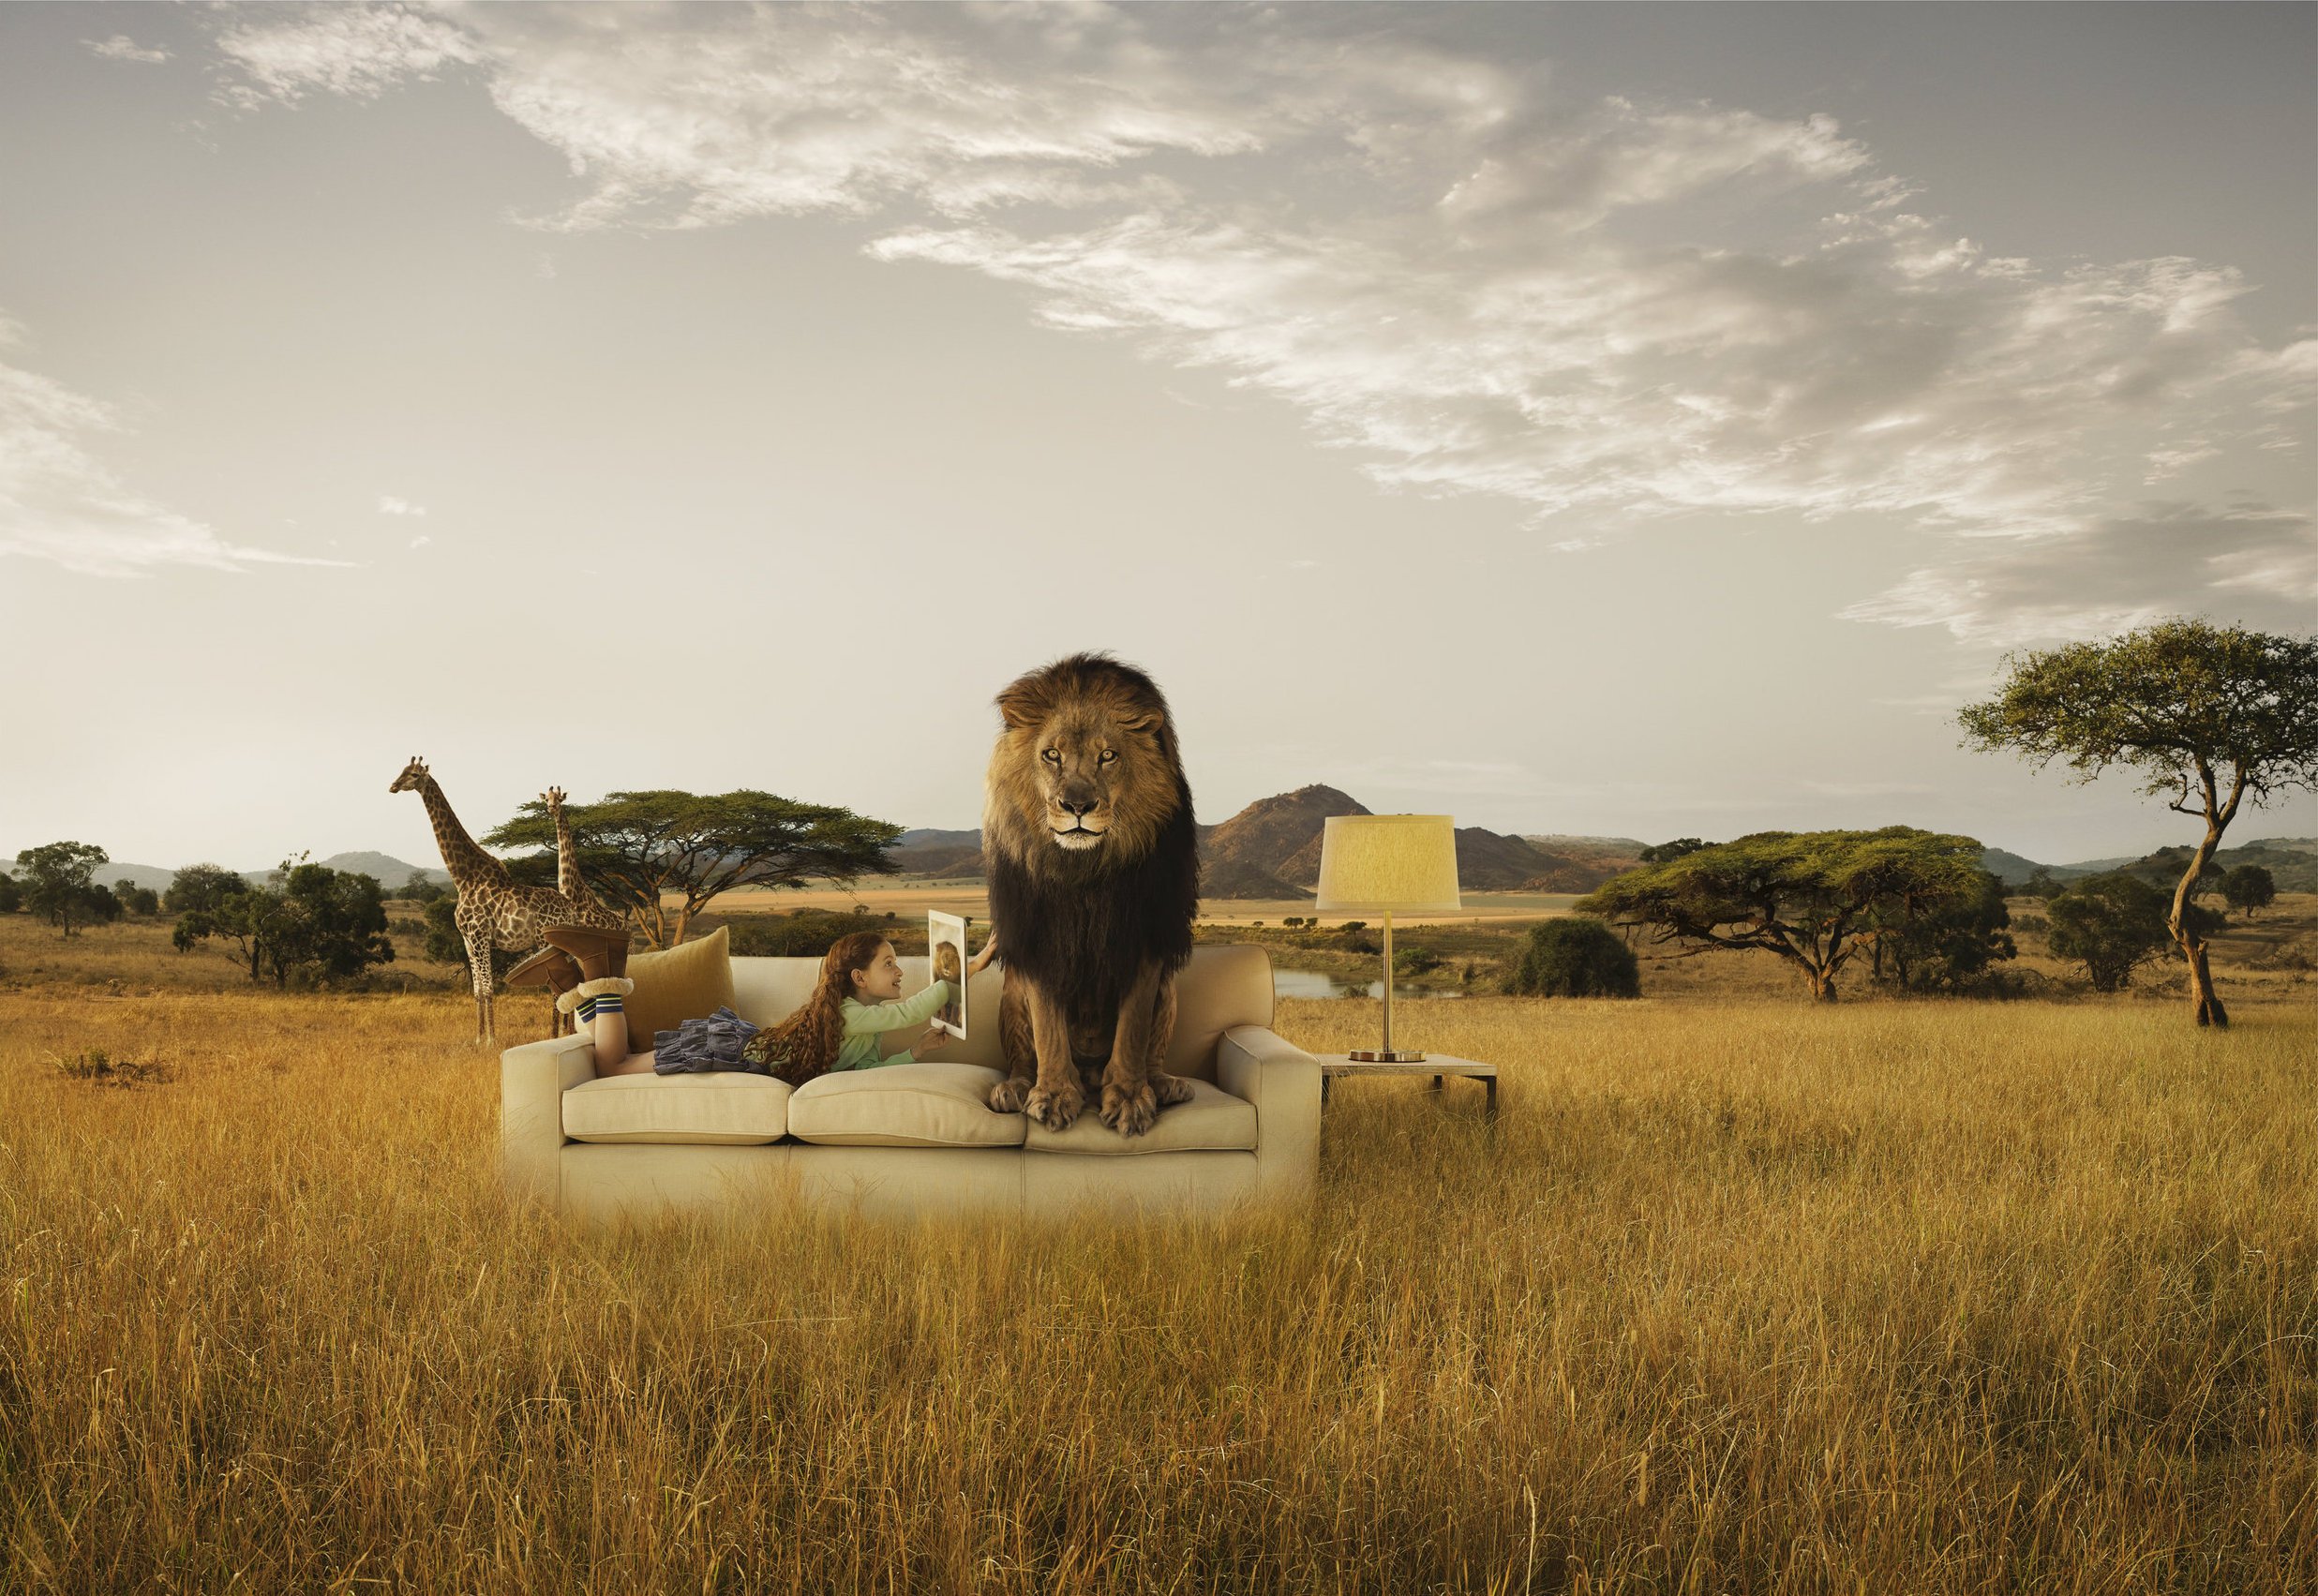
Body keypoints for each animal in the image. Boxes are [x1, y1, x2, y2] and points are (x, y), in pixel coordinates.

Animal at [388, 756, 626, 1044]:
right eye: (401, 770)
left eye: (413, 775)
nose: (392, 786)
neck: (463, 878)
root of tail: (568, 908)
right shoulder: (467, 940)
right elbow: (477, 991)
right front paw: (478, 1038)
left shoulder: (480, 935)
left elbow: (489, 988)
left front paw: (491, 1040)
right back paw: (565, 1032)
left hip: (545, 941)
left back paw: (558, 1034)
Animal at [981, 651, 1200, 1136]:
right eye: (1051, 755)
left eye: (1108, 756)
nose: (1077, 806)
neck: (1083, 872)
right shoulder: (1040, 940)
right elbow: (1048, 1031)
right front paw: (1052, 1096)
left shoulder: (1144, 940)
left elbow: (1133, 1030)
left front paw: (1131, 1100)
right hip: (1010, 992)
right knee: (1023, 1059)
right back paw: (1014, 1089)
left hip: (1171, 992)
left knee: (1152, 1057)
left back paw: (1165, 1086)